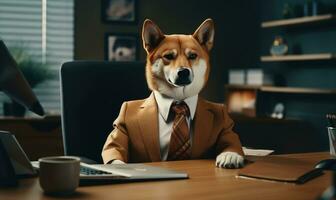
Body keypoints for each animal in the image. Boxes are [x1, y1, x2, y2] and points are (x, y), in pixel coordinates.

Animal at [100, 18, 244, 169]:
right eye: (169, 56)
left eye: (192, 56)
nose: (183, 72)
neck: (179, 99)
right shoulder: (120, 128)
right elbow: (114, 146)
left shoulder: (226, 126)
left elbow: (232, 140)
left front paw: (230, 155)